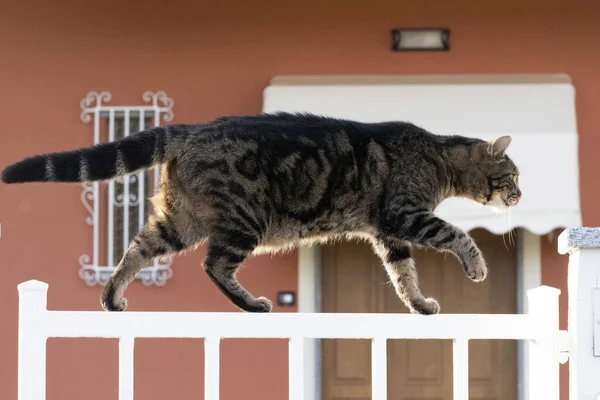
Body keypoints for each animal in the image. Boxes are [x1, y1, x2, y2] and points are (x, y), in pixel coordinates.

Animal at [2, 111, 520, 314]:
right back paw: (251, 304)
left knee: (138, 249)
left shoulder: (389, 234)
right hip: (243, 220)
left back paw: (112, 297)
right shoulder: (403, 216)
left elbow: (403, 275)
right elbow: (457, 235)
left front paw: (420, 305)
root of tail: (191, 130)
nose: (518, 196)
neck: (438, 158)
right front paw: (476, 267)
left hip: (178, 221)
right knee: (214, 264)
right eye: (513, 176)